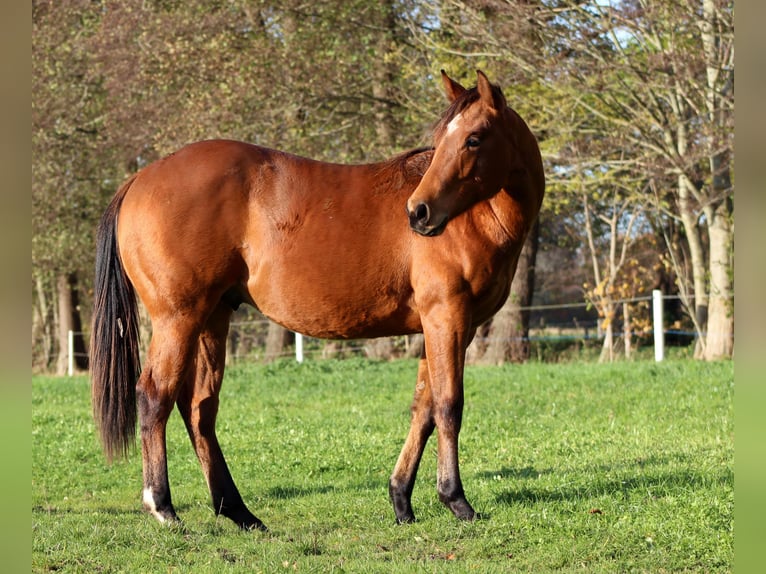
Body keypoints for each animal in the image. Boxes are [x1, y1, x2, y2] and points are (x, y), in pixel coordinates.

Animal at [90, 70, 545, 530]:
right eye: (442, 138)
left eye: (473, 138)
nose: (418, 212)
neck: (477, 217)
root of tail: (139, 179)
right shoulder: (447, 318)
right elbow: (449, 406)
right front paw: (455, 499)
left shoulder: (442, 327)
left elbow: (424, 410)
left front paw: (401, 500)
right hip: (178, 318)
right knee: (154, 396)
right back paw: (162, 505)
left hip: (213, 317)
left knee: (199, 408)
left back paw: (238, 510)